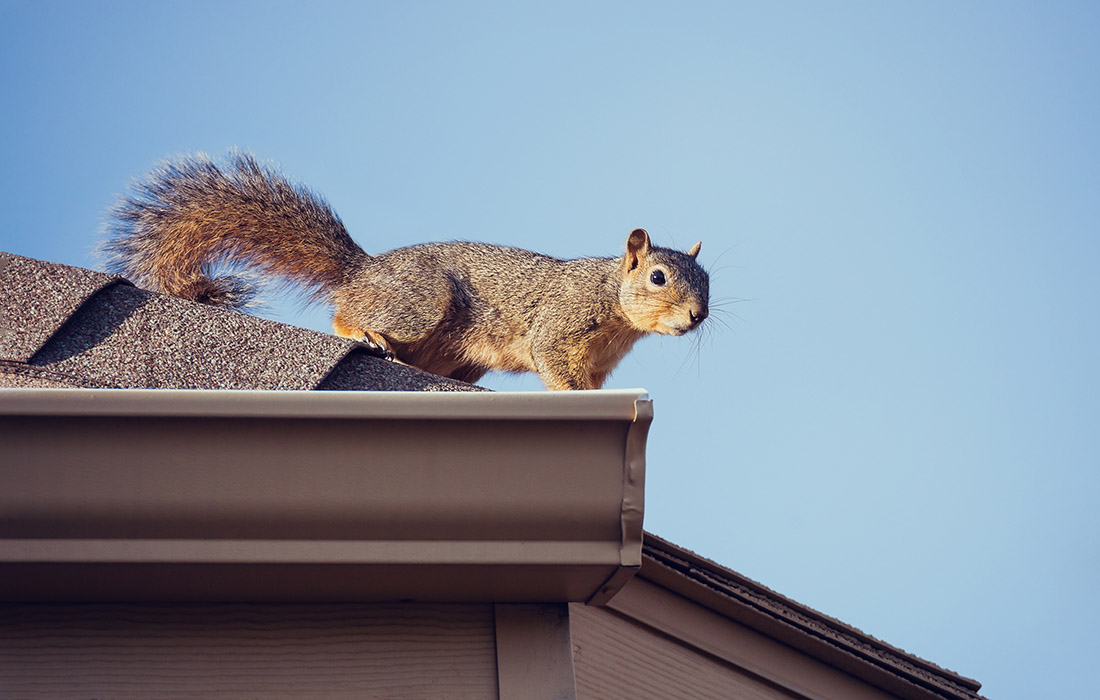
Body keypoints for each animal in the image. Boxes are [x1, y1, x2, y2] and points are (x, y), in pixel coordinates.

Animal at [101, 150, 704, 391]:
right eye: (657, 277)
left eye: (708, 284)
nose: (698, 316)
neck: (614, 303)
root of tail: (363, 271)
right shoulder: (561, 323)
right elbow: (552, 360)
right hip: (420, 303)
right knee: (345, 313)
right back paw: (364, 331)